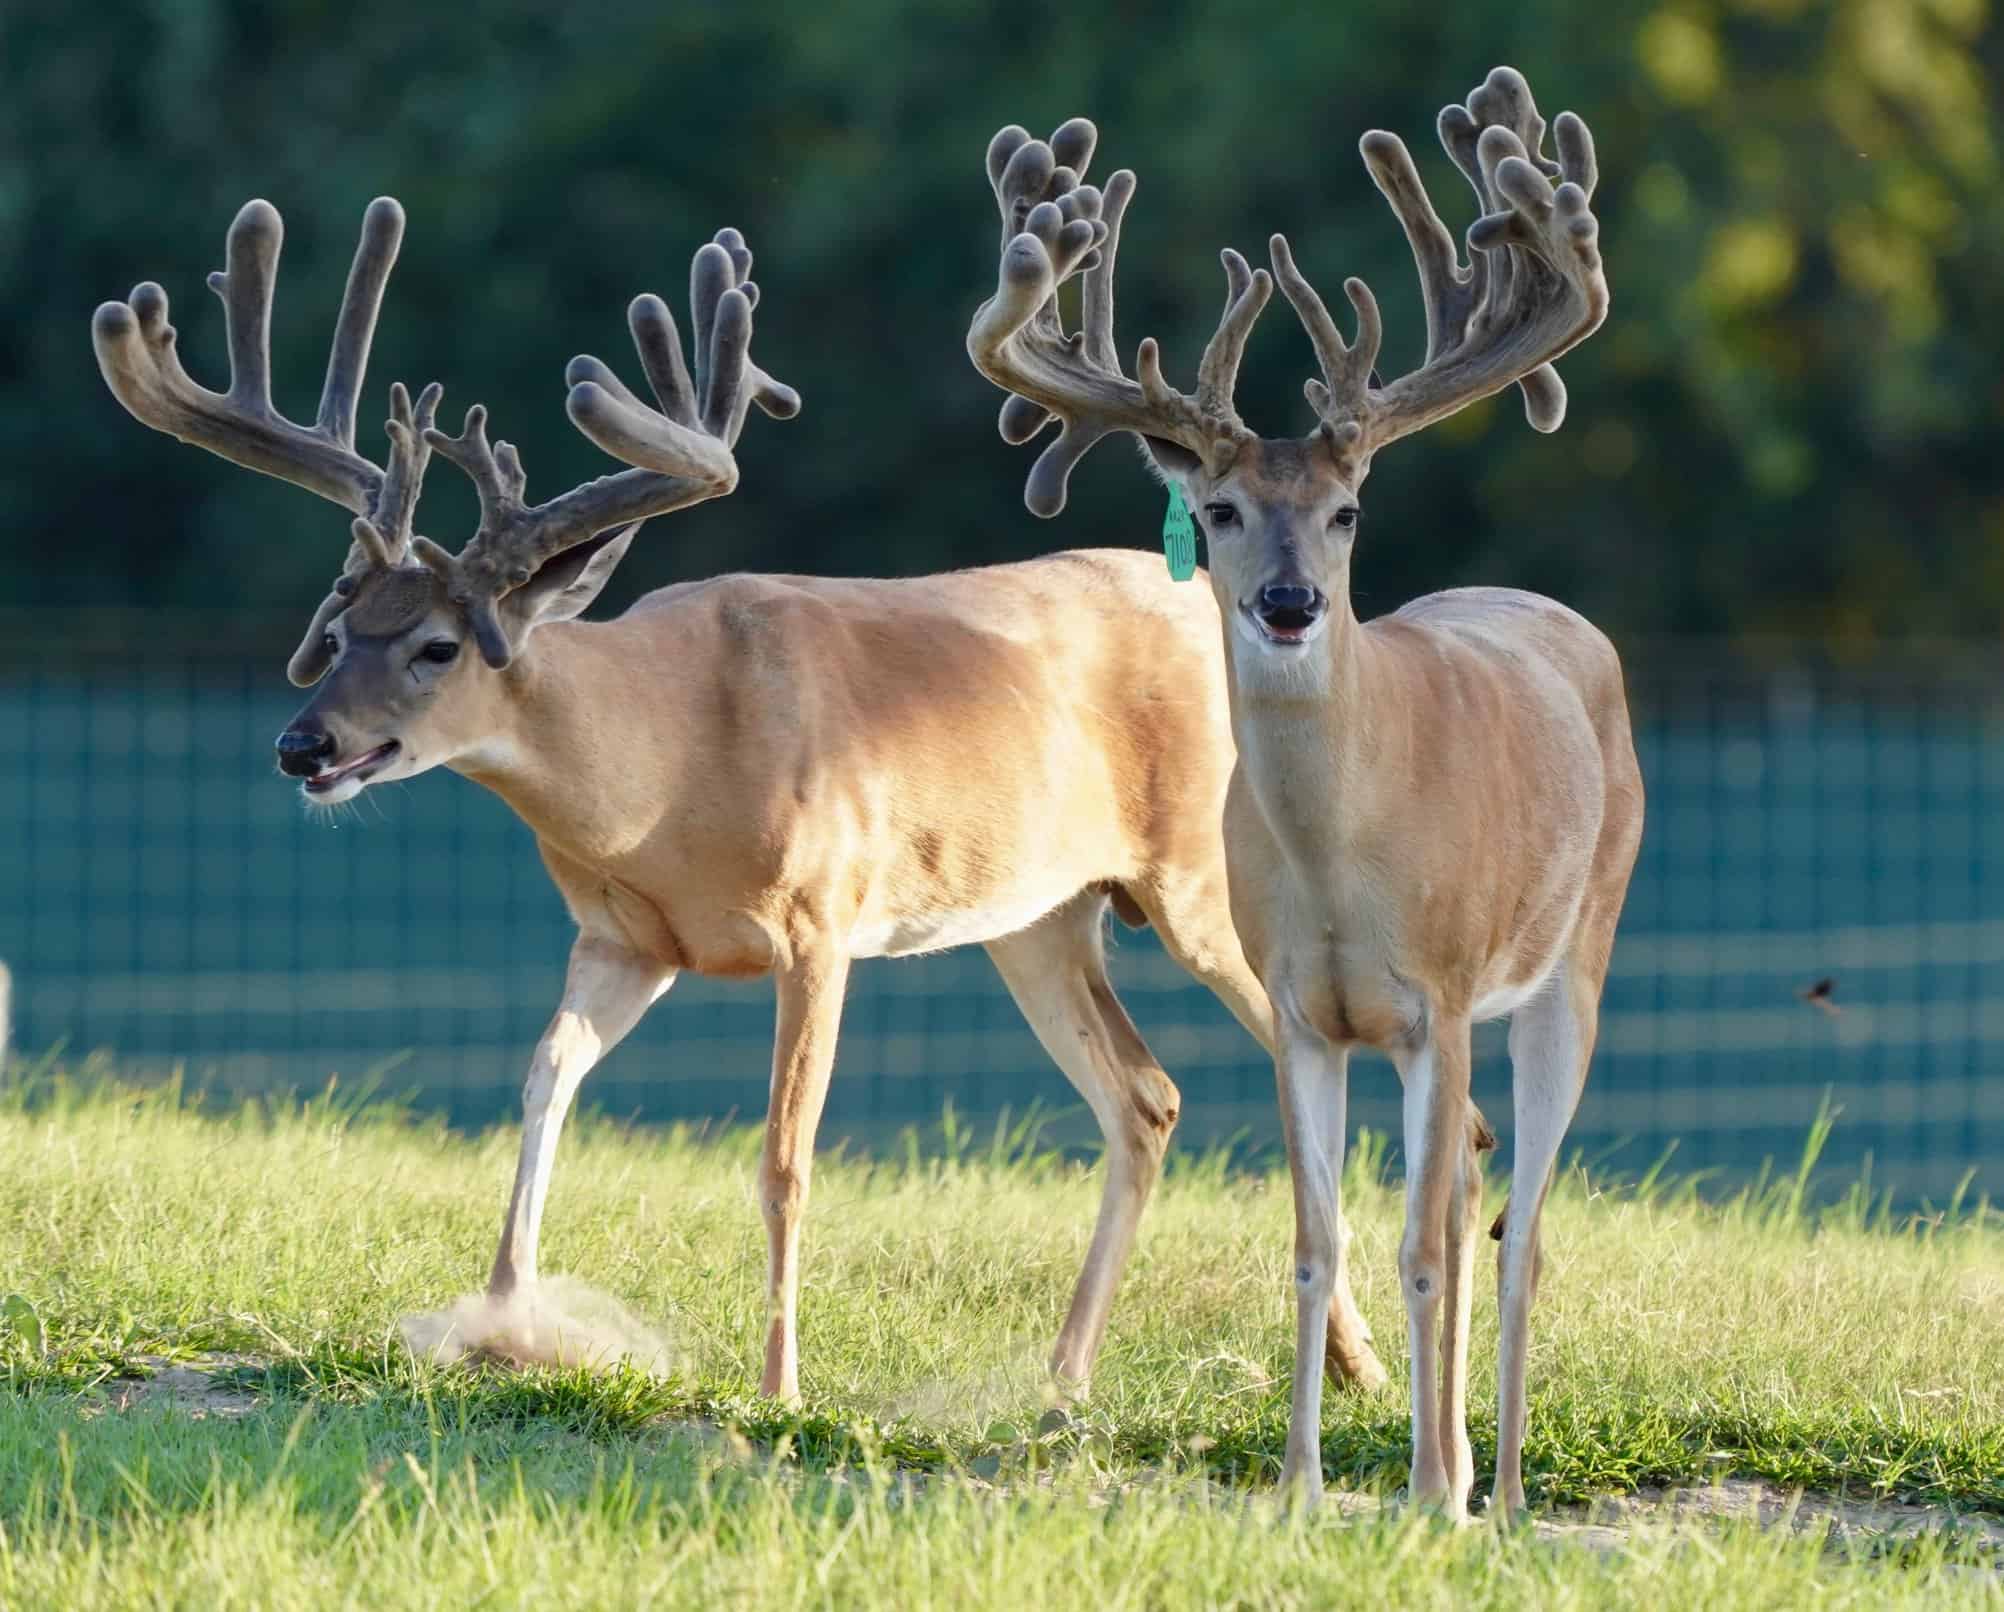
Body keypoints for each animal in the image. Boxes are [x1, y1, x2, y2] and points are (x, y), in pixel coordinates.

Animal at [90, 194, 1417, 1404]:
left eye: (436, 646)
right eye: (339, 625)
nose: (301, 744)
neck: (662, 767)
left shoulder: (820, 916)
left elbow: (784, 1157)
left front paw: (779, 1383)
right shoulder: (621, 937)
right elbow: (542, 1083)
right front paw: (505, 1319)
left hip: (1196, 882)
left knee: (1286, 1069)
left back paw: (1358, 1368)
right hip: (1038, 915)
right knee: (1147, 1097)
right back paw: (1069, 1377)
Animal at [962, 66, 1645, 1518]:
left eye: (1347, 511)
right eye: (1216, 510)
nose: (1287, 603)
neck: (1345, 857)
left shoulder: (1439, 988)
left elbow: (1427, 1246)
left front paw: (1429, 1492)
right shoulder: (1299, 1009)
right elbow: (1315, 1239)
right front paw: (1301, 1488)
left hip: (1573, 957)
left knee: (1518, 1228)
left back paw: (1501, 1490)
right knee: (1478, 1194)